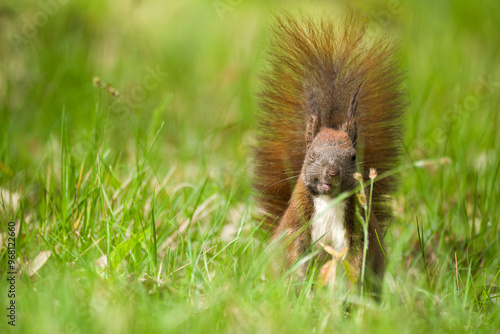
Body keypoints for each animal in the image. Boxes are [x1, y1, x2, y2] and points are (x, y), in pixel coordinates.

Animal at [254, 9, 406, 298]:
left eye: (353, 156)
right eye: (311, 155)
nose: (331, 172)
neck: (329, 201)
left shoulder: (358, 233)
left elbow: (358, 262)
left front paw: (354, 291)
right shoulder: (297, 229)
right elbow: (296, 259)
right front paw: (297, 289)